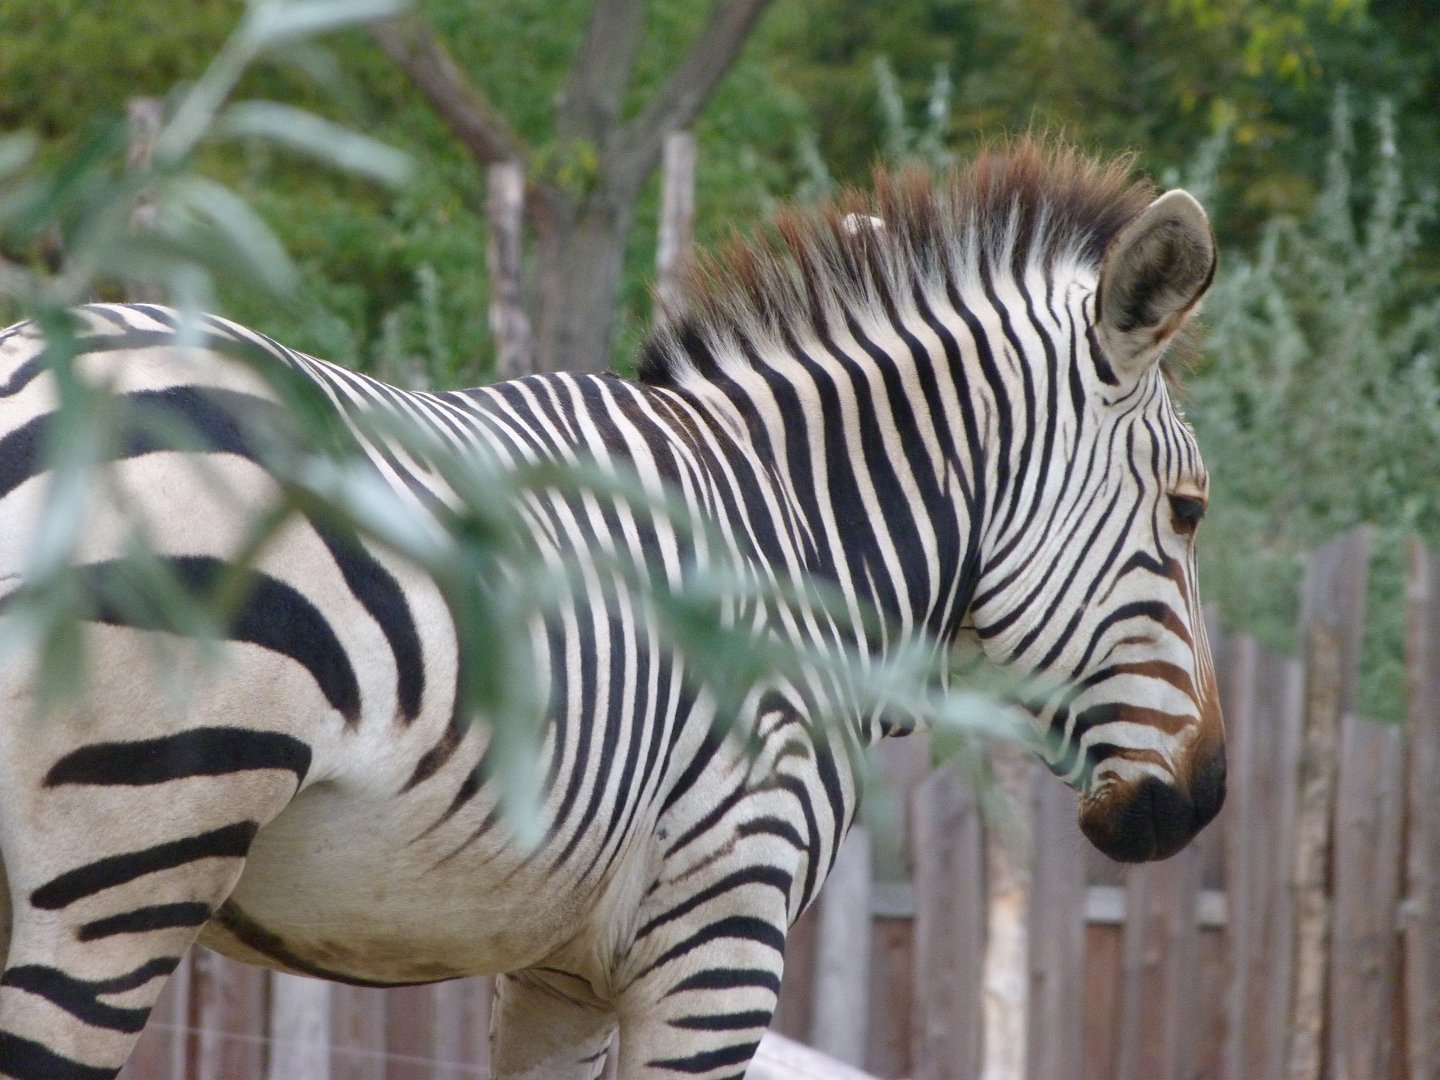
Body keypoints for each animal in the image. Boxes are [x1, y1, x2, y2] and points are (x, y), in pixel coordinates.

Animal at [0, 140, 1224, 1079]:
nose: (1202, 800)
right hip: (132, 860)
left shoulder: (561, 971)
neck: (797, 538)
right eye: (1189, 510)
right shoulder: (723, 931)